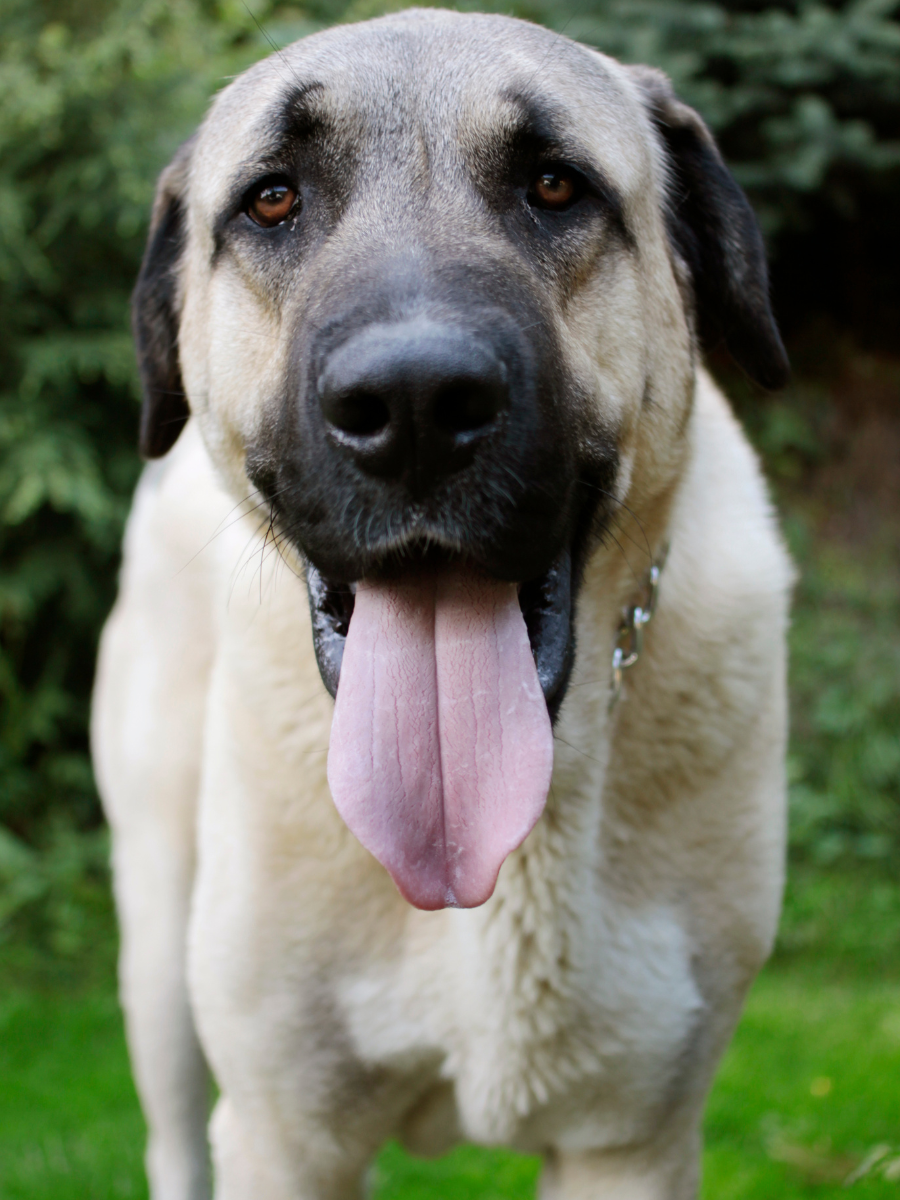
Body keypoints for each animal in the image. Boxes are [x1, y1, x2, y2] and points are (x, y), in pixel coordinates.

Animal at [91, 11, 792, 1200]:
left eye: (554, 185)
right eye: (272, 199)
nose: (412, 404)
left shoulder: (630, 1142)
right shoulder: (284, 1132)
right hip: (156, 947)